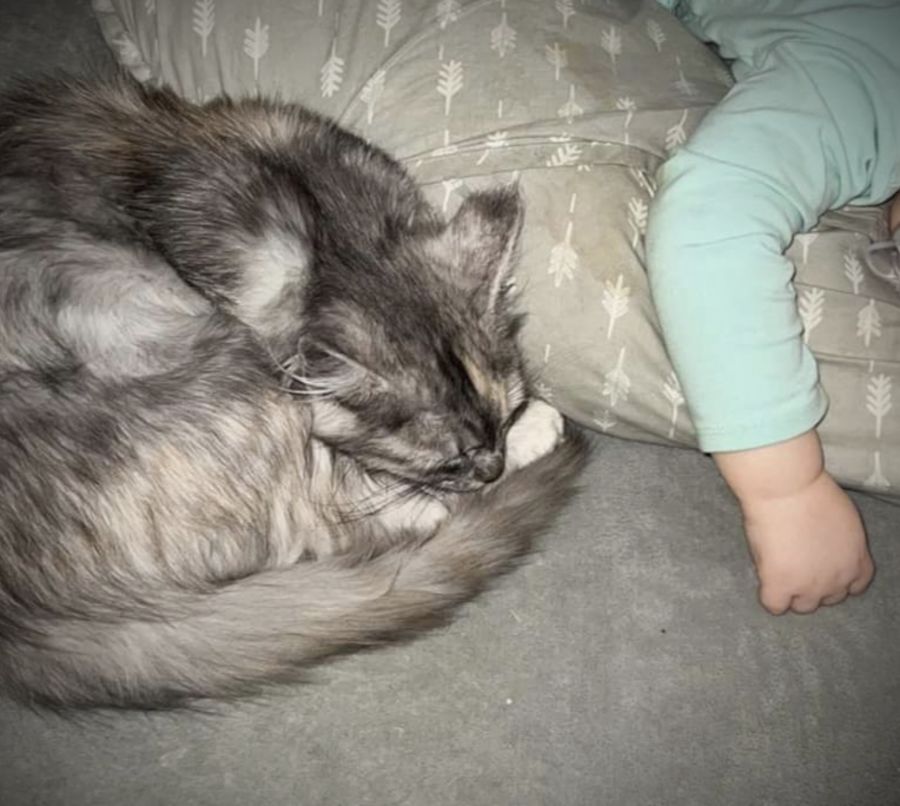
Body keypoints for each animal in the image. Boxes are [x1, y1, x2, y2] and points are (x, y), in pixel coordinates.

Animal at [0, 72, 586, 709]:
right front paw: (531, 430)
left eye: (501, 417)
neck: (326, 237)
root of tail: (27, 623)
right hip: (211, 364)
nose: (492, 465)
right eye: (448, 462)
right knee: (351, 519)